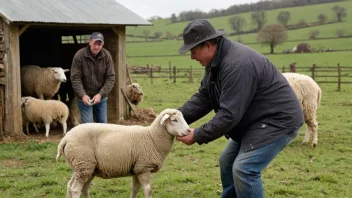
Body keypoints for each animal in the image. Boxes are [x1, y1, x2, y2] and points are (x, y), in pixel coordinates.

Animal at [56, 108, 191, 198]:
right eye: (174, 120)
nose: (189, 131)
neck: (152, 137)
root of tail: (65, 138)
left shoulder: (137, 168)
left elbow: (135, 189)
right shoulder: (144, 167)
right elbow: (148, 191)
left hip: (84, 167)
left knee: (74, 187)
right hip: (83, 163)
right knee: (75, 189)